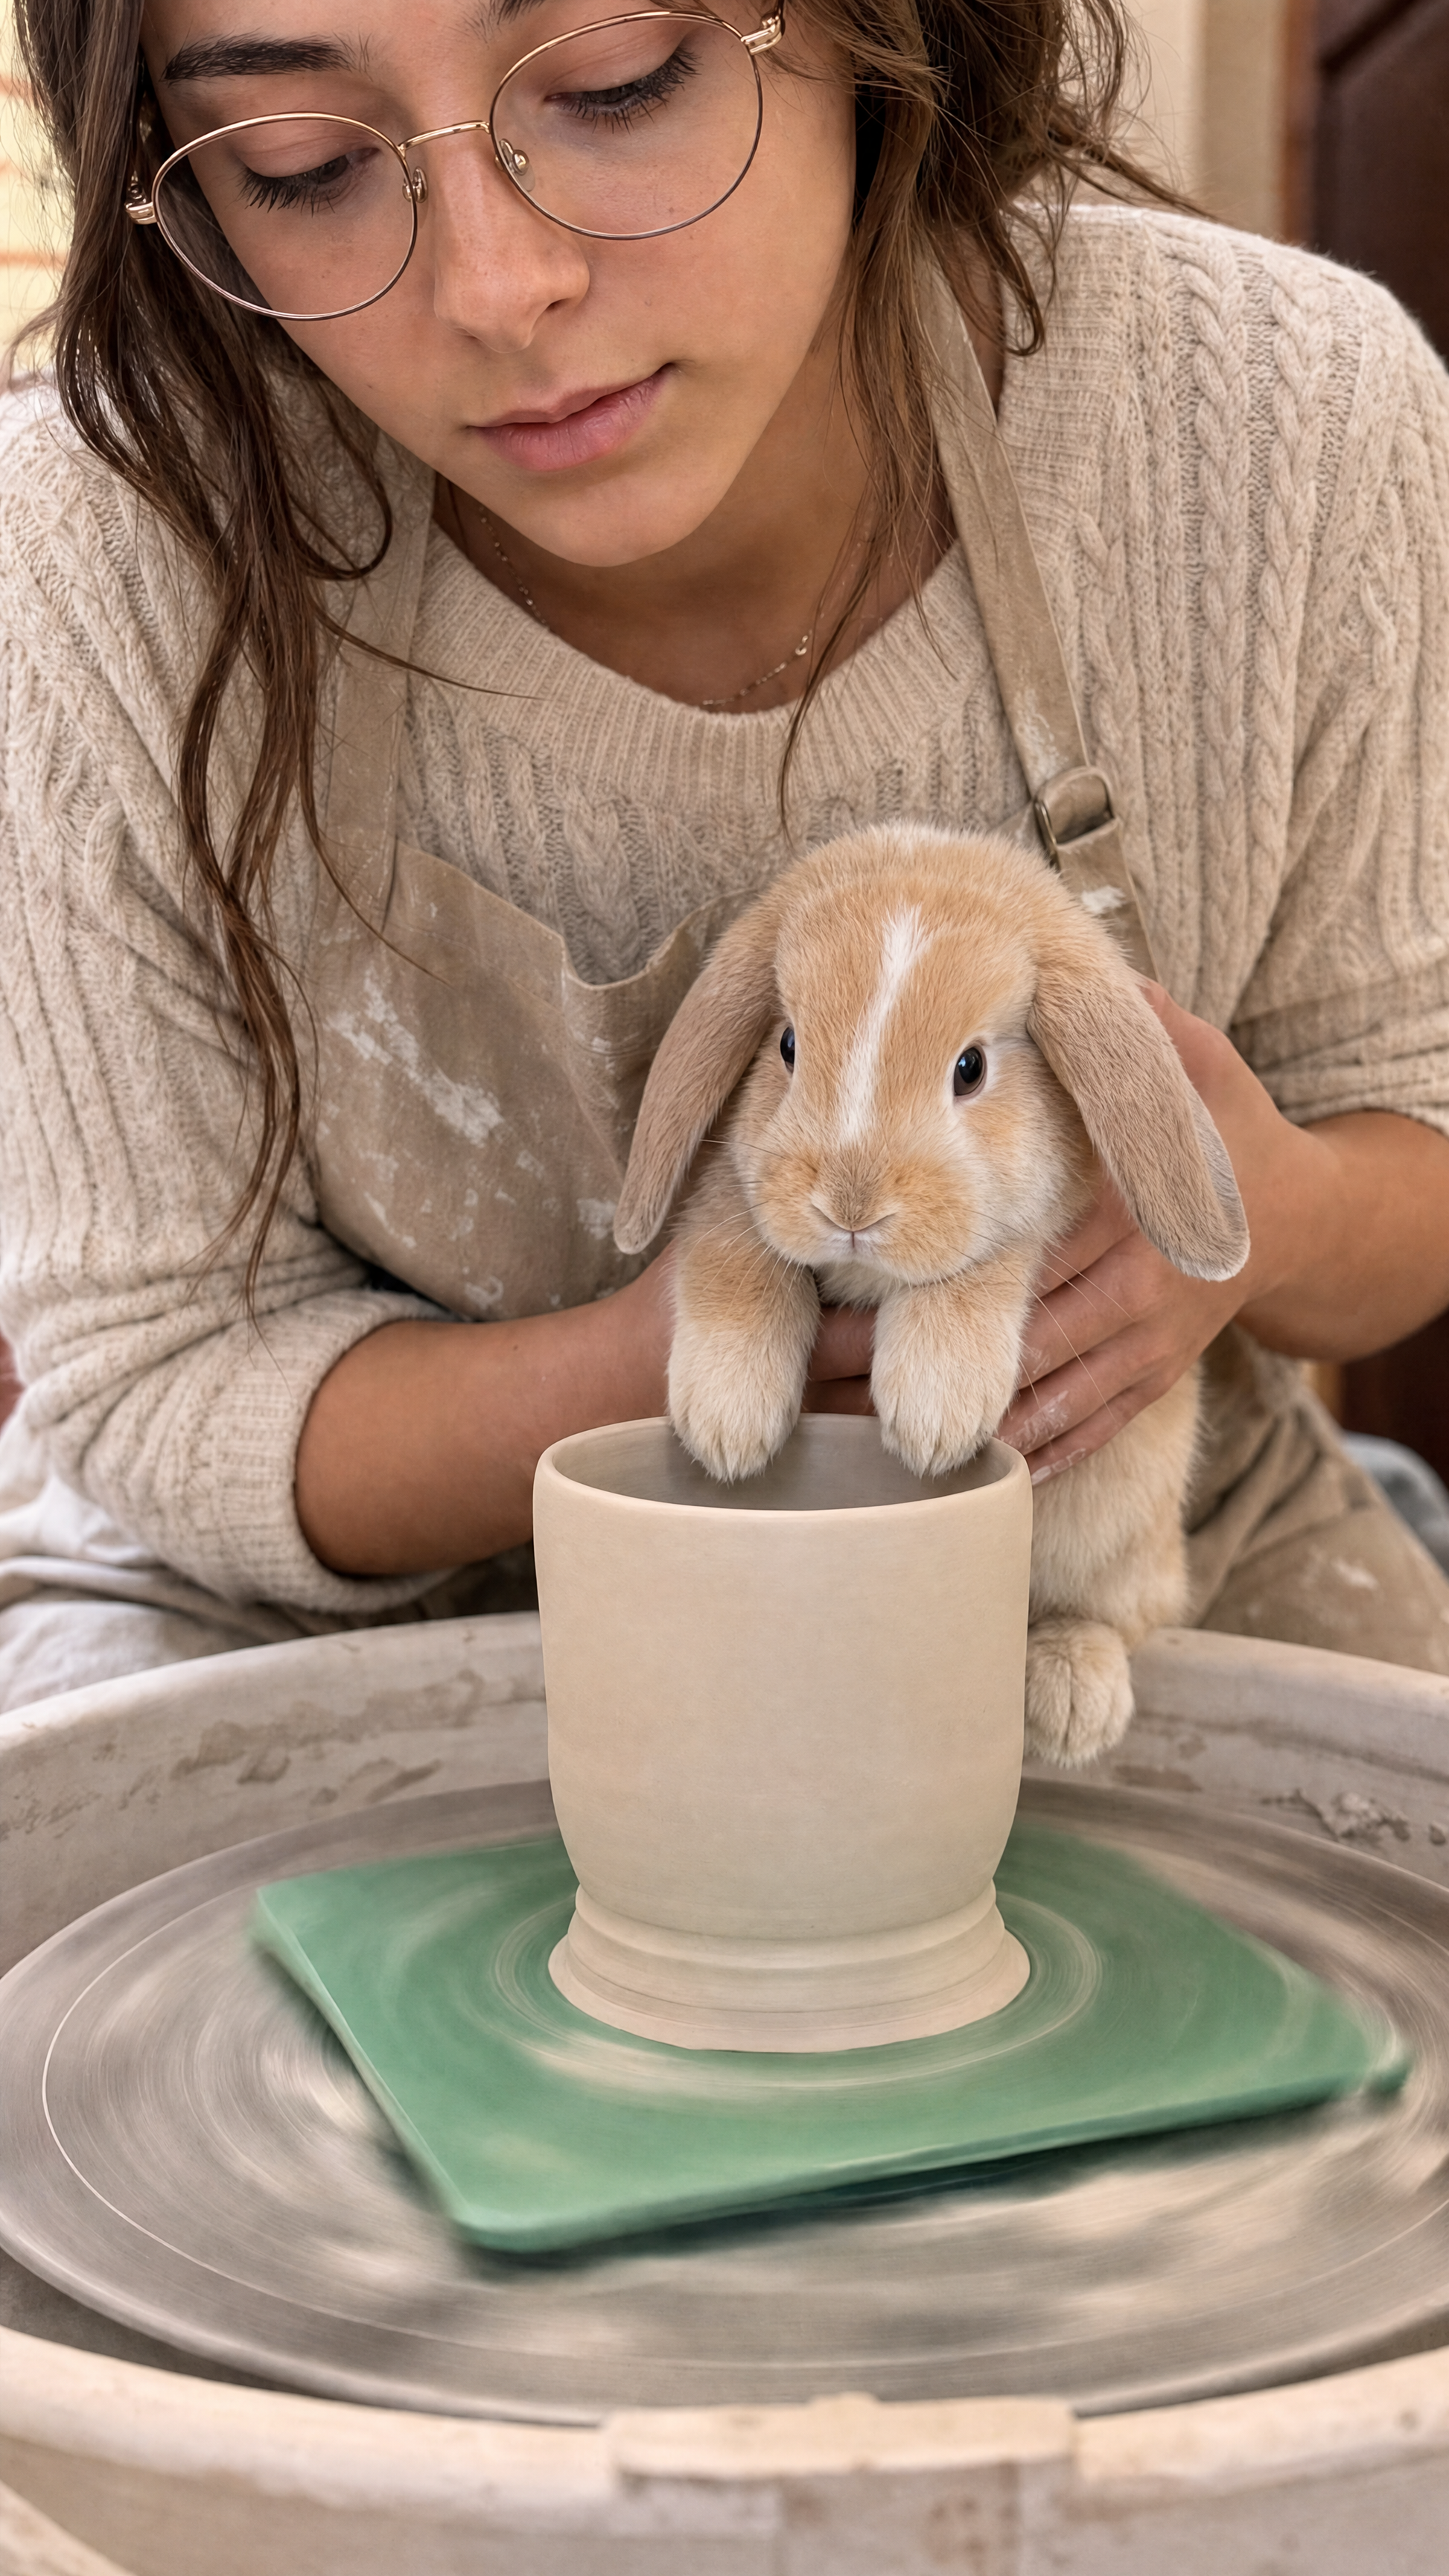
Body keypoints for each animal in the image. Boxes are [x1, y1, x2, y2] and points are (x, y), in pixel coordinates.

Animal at [612, 824, 1249, 1767]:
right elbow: (732, 1245)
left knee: (1115, 1612)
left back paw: (1070, 1703)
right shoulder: (731, 1186)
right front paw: (726, 1425)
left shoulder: (1029, 1218)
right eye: (787, 1045)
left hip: (1115, 1526)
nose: (848, 1208)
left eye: (970, 1067)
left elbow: (980, 1259)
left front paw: (931, 1416)